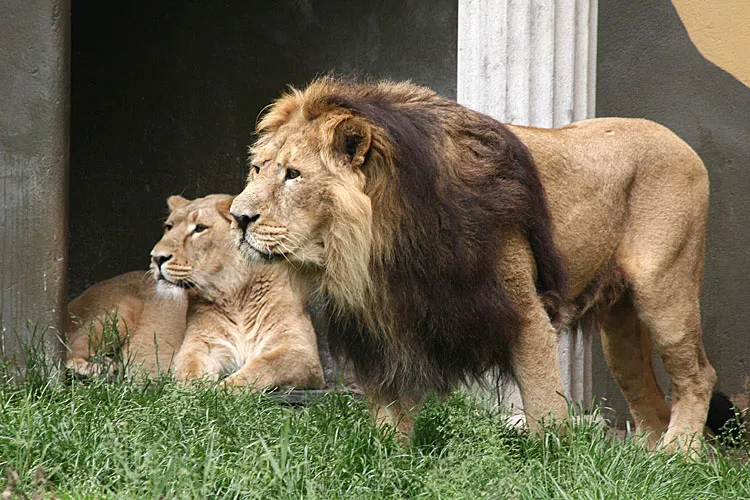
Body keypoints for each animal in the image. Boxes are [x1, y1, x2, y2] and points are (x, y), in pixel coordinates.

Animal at [151, 194, 325, 390]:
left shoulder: (302, 351)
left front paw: (223, 390)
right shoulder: (202, 343)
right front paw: (191, 391)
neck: (236, 295)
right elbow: (189, 366)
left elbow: (266, 365)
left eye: (200, 228)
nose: (156, 258)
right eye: (169, 227)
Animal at [229, 77, 720, 452]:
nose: (237, 217)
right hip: (619, 331)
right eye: (257, 169)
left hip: (664, 293)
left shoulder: (525, 314)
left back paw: (679, 456)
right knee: (647, 397)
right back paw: (648, 462)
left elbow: (543, 404)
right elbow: (388, 413)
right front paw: (389, 461)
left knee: (698, 375)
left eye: (294, 175)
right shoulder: (384, 324)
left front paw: (551, 462)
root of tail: (679, 141)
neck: (376, 248)